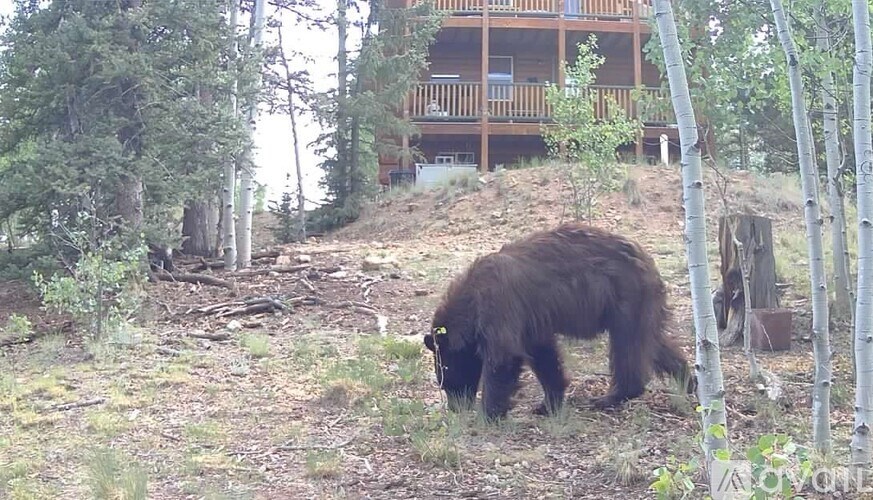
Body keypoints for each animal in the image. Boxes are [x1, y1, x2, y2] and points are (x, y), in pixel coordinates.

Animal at [423, 222, 695, 420]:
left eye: (445, 376)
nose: (455, 408)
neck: (471, 301)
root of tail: (647, 260)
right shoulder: (531, 324)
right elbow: (544, 357)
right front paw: (547, 404)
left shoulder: (500, 306)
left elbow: (503, 356)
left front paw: (489, 413)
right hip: (642, 304)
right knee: (654, 342)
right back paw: (688, 381)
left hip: (625, 297)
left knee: (628, 346)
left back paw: (609, 396)